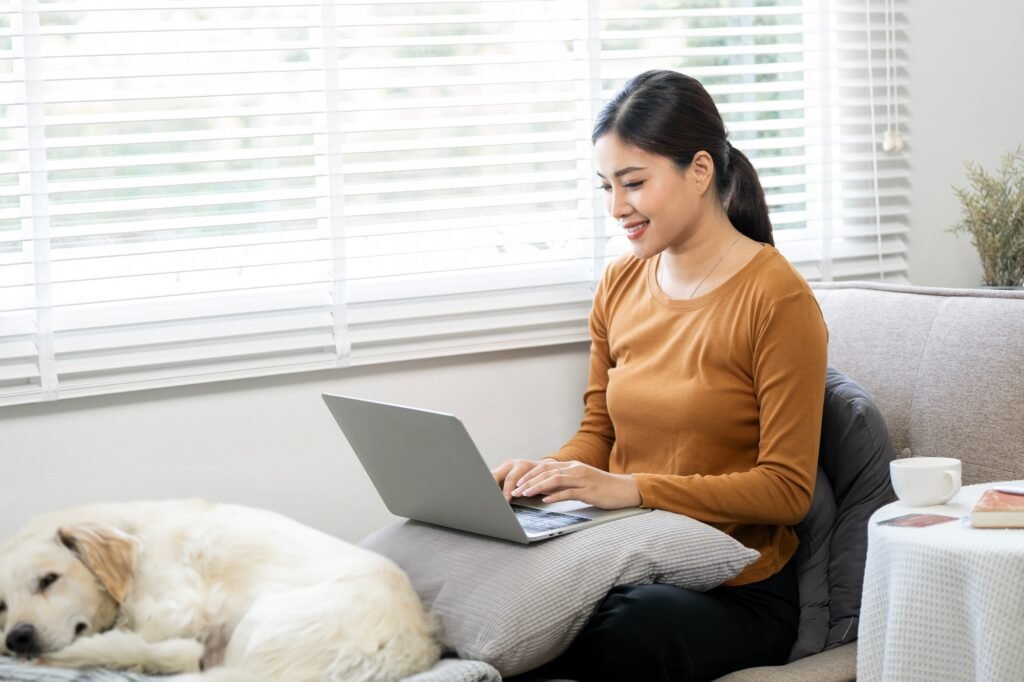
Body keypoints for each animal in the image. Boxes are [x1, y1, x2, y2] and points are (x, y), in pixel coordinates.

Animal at [0, 497, 436, 675]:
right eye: (0, 605)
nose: (17, 639)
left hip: (261, 619)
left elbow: (147, 643)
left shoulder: (178, 609)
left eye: (49, 580)